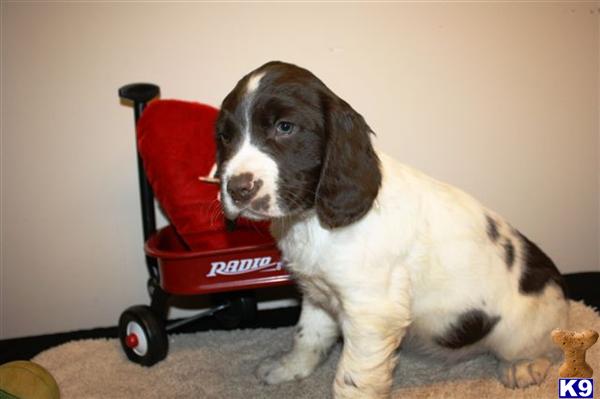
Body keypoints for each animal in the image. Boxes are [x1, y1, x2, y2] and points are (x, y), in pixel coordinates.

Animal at [213, 61, 568, 398]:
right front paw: (288, 369)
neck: (312, 220)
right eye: (226, 137)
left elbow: (351, 379)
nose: (237, 189)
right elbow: (307, 336)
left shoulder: (372, 312)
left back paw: (522, 367)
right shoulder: (319, 292)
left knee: (544, 349)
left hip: (517, 330)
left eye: (285, 127)